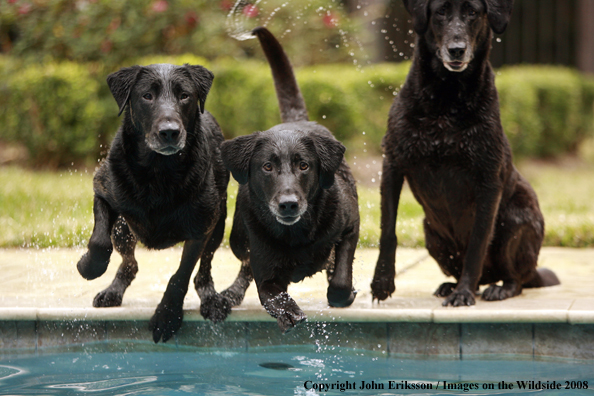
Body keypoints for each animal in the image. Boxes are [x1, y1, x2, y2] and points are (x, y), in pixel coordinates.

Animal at [74, 61, 231, 340]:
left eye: (185, 96)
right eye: (147, 96)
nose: (169, 132)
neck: (159, 172)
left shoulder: (201, 229)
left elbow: (181, 275)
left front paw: (167, 315)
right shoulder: (103, 190)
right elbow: (99, 242)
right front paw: (88, 266)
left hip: (219, 225)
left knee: (204, 270)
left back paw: (211, 299)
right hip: (123, 230)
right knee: (129, 263)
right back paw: (112, 291)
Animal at [217, 26, 356, 332]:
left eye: (304, 165)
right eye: (267, 167)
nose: (289, 204)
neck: (297, 234)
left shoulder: (350, 225)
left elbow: (341, 276)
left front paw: (341, 290)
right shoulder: (265, 268)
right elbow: (271, 293)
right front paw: (290, 311)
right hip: (237, 238)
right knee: (244, 264)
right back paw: (231, 293)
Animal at [368, 0, 556, 306]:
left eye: (473, 13)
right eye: (440, 12)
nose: (456, 49)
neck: (446, 95)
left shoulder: (488, 181)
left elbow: (477, 242)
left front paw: (464, 294)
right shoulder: (393, 165)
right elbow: (388, 231)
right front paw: (381, 282)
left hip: (515, 223)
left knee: (516, 278)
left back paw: (497, 288)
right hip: (431, 234)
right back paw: (451, 285)